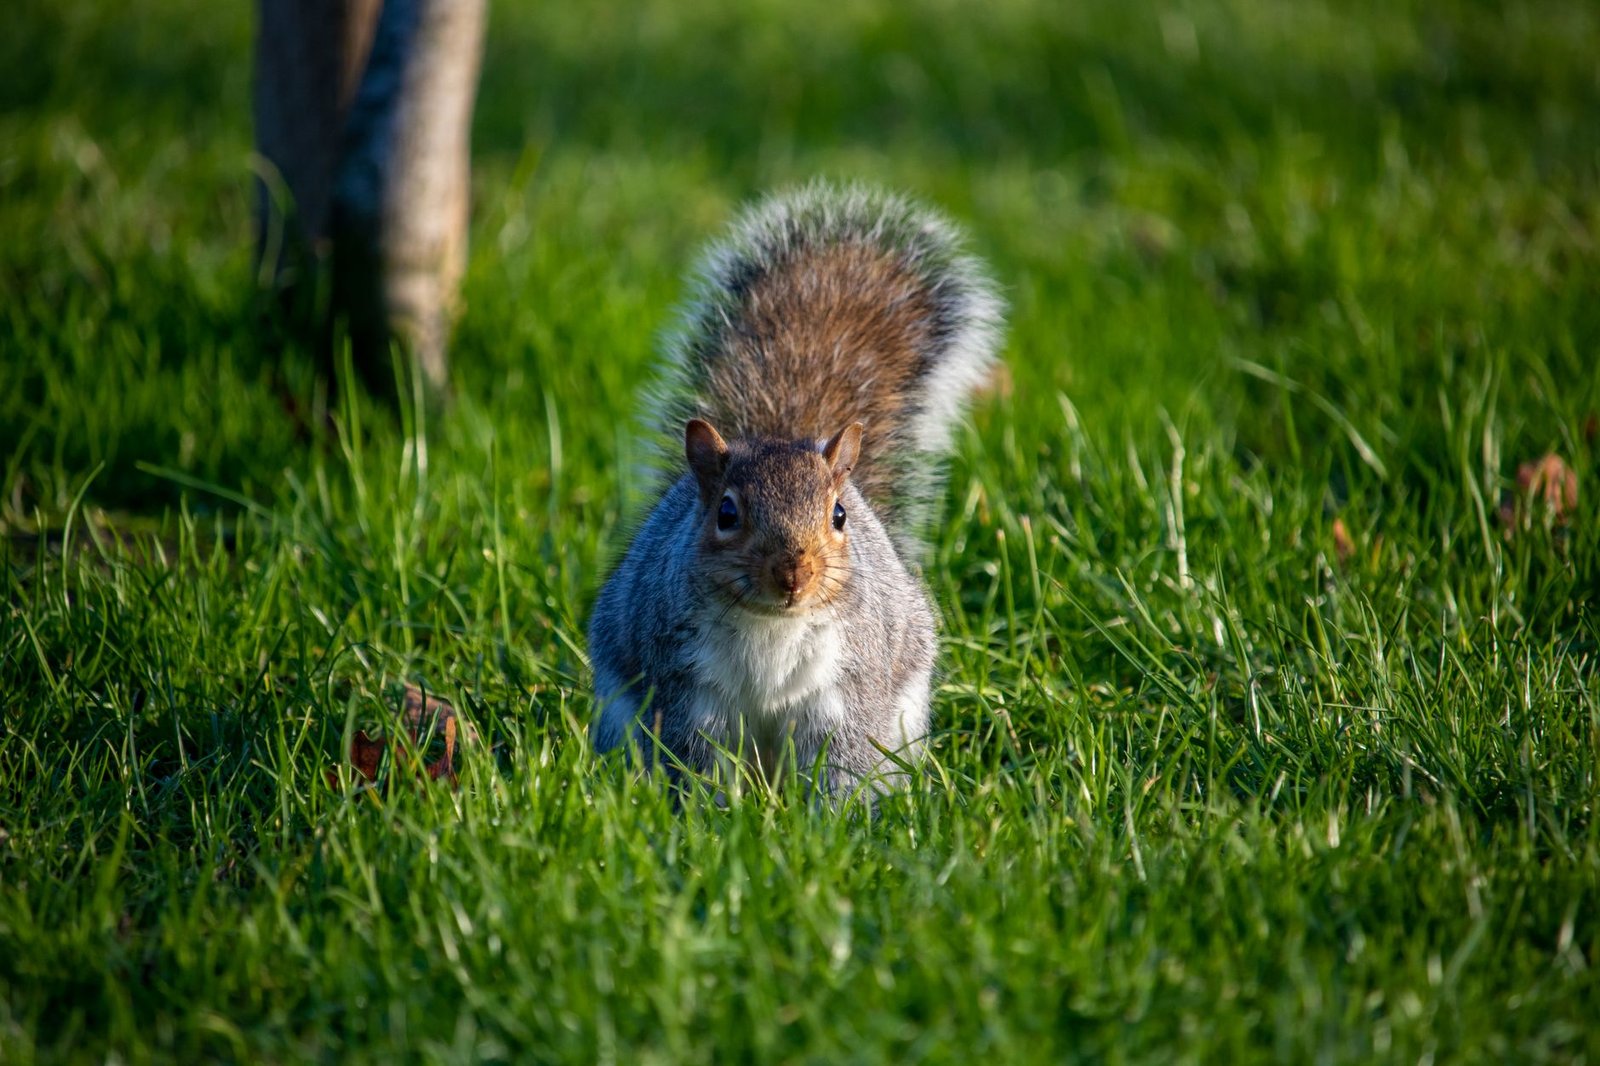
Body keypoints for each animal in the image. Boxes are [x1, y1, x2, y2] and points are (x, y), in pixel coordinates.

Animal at [588, 182, 1005, 797]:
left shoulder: (845, 687)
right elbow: (695, 759)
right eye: (726, 514)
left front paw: (838, 815)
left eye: (839, 516)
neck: (772, 625)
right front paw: (708, 812)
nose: (794, 572)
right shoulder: (687, 688)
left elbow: (844, 759)